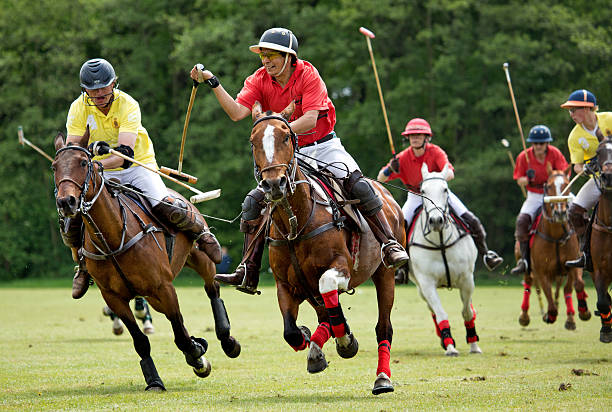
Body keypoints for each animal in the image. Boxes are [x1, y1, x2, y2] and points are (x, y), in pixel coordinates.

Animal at [52, 130, 240, 392]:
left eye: (83, 163)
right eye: (54, 166)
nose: (66, 202)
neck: (113, 239)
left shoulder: (163, 286)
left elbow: (180, 333)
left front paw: (198, 354)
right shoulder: (113, 297)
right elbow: (141, 340)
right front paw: (155, 380)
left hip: (199, 258)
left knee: (212, 288)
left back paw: (227, 339)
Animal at [249, 101, 402, 394]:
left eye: (286, 137)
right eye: (253, 141)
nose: (274, 184)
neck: (296, 221)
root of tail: (388, 196)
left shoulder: (340, 267)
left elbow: (328, 286)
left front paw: (346, 342)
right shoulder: (286, 284)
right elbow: (291, 331)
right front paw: (310, 339)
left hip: (385, 274)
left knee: (384, 327)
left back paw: (382, 378)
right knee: (324, 315)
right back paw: (317, 348)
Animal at [406, 164, 482, 358]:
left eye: (445, 189)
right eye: (423, 191)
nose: (436, 221)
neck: (440, 242)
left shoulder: (467, 279)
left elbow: (467, 312)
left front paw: (474, 344)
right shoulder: (426, 283)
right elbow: (440, 314)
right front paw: (450, 346)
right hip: (420, 288)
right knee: (433, 311)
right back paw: (443, 338)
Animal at [516, 164, 592, 328]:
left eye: (566, 185)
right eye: (548, 186)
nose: (560, 213)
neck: (557, 236)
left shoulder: (573, 264)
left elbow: (576, 285)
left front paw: (581, 313)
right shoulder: (541, 271)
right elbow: (547, 293)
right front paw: (550, 315)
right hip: (525, 263)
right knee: (528, 283)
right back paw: (524, 316)